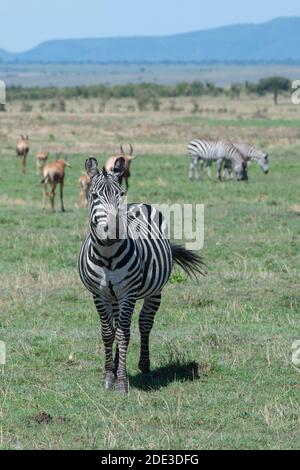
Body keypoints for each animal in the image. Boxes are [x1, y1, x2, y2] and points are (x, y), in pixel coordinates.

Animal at [77, 155, 205, 392]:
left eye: (120, 193)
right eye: (94, 195)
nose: (114, 229)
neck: (107, 255)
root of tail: (139, 204)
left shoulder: (128, 293)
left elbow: (124, 334)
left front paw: (121, 381)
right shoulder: (99, 294)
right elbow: (109, 333)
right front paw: (108, 376)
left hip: (155, 291)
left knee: (144, 323)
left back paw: (144, 367)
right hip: (115, 297)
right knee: (119, 324)